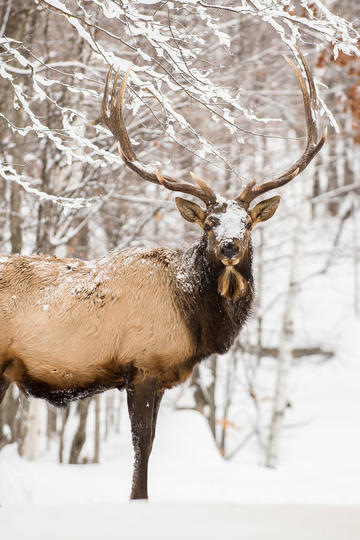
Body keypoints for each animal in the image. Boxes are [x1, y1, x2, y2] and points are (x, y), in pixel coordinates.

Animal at [0, 48, 326, 500]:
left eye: (247, 223)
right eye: (209, 222)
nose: (229, 246)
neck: (196, 318)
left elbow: (148, 444)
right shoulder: (143, 364)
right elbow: (143, 444)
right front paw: (138, 500)